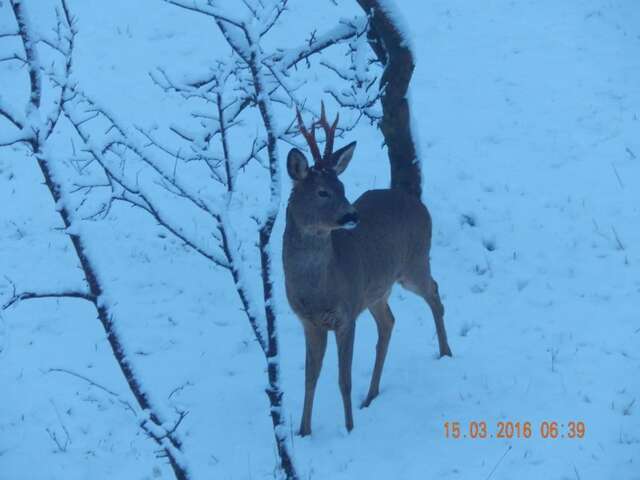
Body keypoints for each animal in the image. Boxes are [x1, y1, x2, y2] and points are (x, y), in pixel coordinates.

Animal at [282, 103, 452, 436]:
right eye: (322, 191)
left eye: (342, 186)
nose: (352, 215)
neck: (316, 288)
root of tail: (414, 199)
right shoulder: (309, 321)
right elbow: (310, 378)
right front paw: (304, 431)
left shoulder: (346, 314)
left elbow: (343, 380)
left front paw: (349, 429)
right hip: (376, 290)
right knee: (388, 322)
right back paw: (371, 395)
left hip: (414, 263)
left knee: (435, 292)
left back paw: (446, 353)